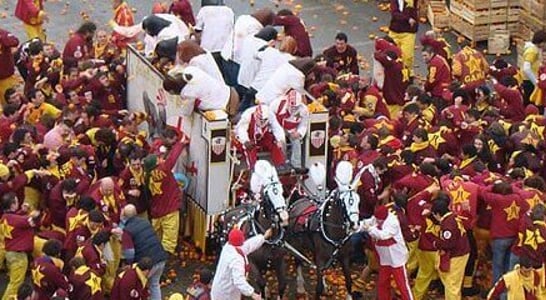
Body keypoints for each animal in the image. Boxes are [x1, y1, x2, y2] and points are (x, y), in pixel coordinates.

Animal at [214, 159, 288, 298]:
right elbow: (261, 283)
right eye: (268, 195)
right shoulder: (252, 263)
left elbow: (282, 285)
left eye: (282, 192)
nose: (284, 217)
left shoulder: (279, 261)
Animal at [282, 162, 360, 300]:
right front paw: (319, 287)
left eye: (358, 200)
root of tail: (299, 197)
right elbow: (317, 288)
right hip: (297, 243)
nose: (354, 224)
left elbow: (349, 282)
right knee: (298, 262)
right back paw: (300, 286)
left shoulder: (345, 257)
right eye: (343, 202)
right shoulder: (320, 258)